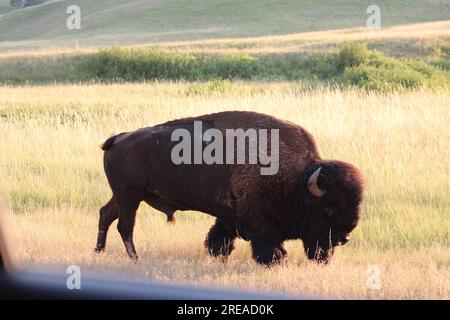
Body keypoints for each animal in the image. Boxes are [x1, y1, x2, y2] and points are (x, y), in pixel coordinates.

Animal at [93, 111, 364, 266]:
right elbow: (267, 242)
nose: (344, 238)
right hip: (130, 197)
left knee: (105, 214)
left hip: (123, 196)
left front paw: (217, 255)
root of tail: (118, 139)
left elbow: (220, 237)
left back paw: (99, 252)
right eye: (329, 208)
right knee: (124, 226)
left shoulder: (228, 216)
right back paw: (134, 259)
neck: (296, 181)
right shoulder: (258, 220)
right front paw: (276, 261)